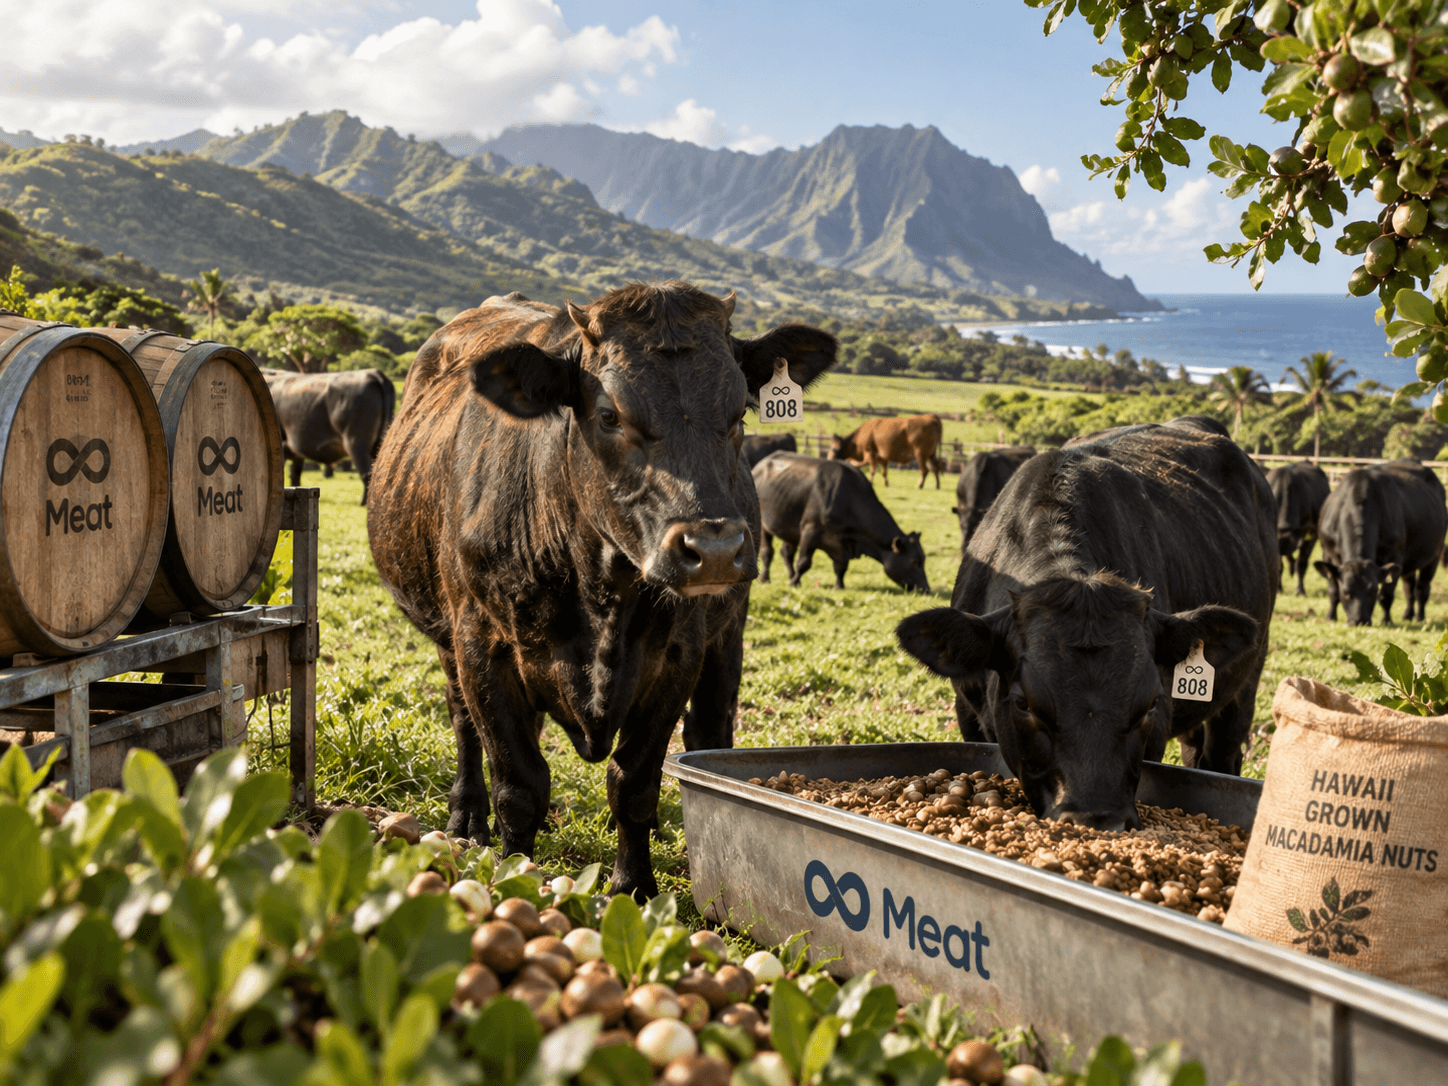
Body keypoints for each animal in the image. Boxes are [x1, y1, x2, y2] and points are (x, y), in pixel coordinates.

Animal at [263, 368, 396, 505]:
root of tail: (372, 372)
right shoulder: (295, 451)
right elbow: (295, 474)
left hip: (356, 443)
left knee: (367, 473)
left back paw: (364, 503)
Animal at [366, 282, 836, 896]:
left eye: (738, 413)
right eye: (610, 414)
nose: (713, 548)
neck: (601, 593)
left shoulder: (678, 654)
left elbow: (633, 782)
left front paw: (633, 885)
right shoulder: (481, 644)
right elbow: (519, 784)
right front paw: (516, 871)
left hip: (726, 633)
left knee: (709, 728)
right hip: (447, 635)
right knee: (463, 721)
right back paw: (467, 818)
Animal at [753, 452, 929, 592]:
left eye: (923, 560)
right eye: (915, 562)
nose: (926, 589)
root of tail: (760, 464)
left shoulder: (842, 543)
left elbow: (841, 566)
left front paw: (839, 586)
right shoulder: (810, 530)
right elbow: (804, 562)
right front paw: (794, 582)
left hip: (789, 529)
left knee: (786, 553)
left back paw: (789, 576)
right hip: (764, 526)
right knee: (767, 553)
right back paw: (766, 578)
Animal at [895, 418, 1274, 830]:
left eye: (1150, 704)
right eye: (1023, 704)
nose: (1098, 818)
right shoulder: (967, 710)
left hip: (1246, 679)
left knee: (1222, 755)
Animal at [1314, 459, 1446, 625]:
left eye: (1373, 591)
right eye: (1346, 592)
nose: (1359, 621)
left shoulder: (1395, 557)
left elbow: (1386, 595)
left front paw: (1386, 620)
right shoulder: (1327, 553)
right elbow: (1333, 590)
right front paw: (1331, 616)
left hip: (1434, 555)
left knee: (1422, 588)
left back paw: (1420, 618)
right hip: (1410, 563)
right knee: (1409, 587)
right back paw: (1408, 615)